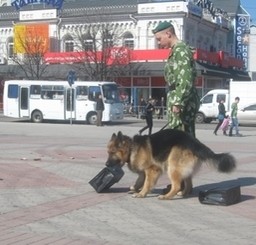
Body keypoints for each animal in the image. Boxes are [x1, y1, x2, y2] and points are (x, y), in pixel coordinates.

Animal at [106, 128, 236, 199]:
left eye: (112, 152)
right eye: (108, 152)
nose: (106, 165)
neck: (132, 148)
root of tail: (195, 142)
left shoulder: (152, 170)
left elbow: (147, 183)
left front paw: (142, 194)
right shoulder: (143, 172)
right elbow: (139, 181)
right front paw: (135, 188)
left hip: (172, 166)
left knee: (177, 184)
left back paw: (167, 196)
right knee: (188, 183)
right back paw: (183, 193)